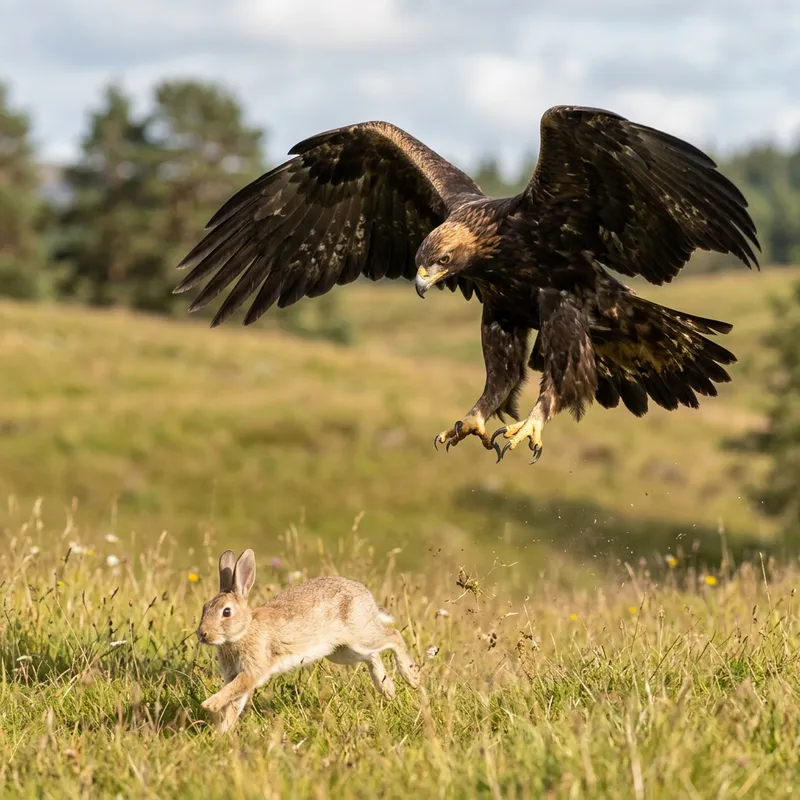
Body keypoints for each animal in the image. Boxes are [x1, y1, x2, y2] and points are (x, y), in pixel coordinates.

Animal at [196, 548, 420, 731]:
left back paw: (411, 677)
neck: (244, 630)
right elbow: (234, 703)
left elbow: (233, 691)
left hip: (361, 635)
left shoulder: (253, 669)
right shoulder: (237, 675)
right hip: (342, 651)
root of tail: (367, 597)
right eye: (204, 608)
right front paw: (221, 734)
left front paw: (209, 705)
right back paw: (387, 689)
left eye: (226, 612)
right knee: (372, 656)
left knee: (394, 636)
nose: (202, 634)